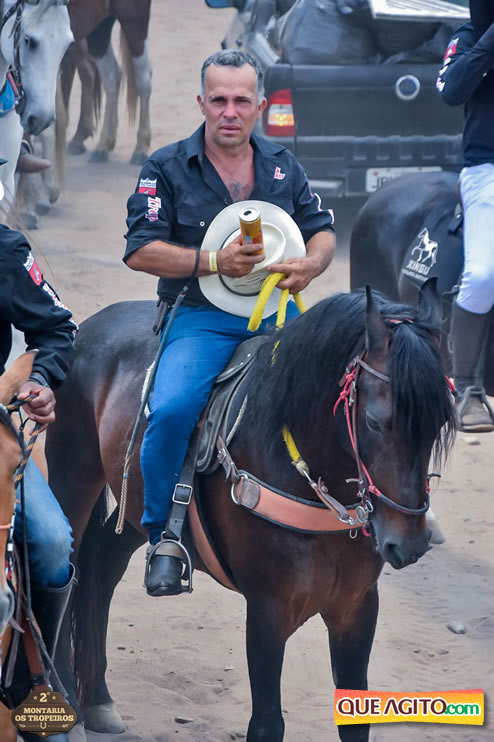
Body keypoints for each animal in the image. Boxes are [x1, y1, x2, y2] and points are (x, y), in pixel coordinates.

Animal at [45, 285, 456, 742]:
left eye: (441, 420)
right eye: (374, 421)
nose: (410, 541)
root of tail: (86, 328)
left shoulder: (357, 606)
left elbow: (355, 721)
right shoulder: (267, 610)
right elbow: (266, 724)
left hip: (137, 499)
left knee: (103, 563)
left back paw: (98, 700)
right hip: (72, 477)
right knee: (68, 572)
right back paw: (68, 705)